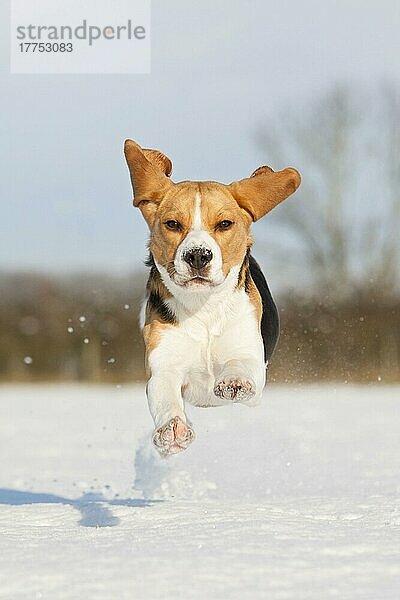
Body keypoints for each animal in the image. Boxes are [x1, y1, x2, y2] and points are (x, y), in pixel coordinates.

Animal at [124, 141, 300, 458]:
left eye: (225, 223)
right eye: (172, 224)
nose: (197, 255)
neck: (202, 307)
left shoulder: (251, 357)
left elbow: (241, 365)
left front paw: (234, 381)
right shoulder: (163, 364)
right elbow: (164, 393)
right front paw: (172, 429)